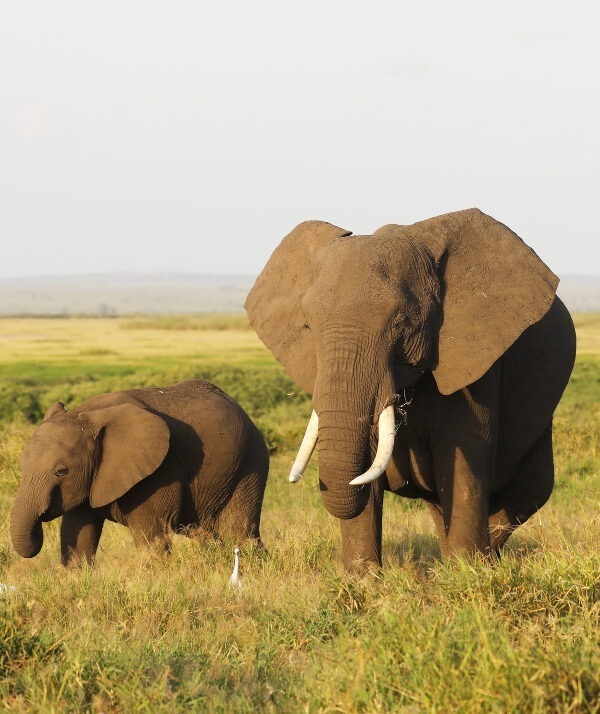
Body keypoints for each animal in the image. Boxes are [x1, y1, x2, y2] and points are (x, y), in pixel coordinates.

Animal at [10, 378, 268, 560]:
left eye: (61, 471)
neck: (85, 416)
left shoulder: (159, 470)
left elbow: (152, 541)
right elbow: (76, 539)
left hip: (251, 463)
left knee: (239, 532)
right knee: (207, 534)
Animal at [245, 207, 576, 572]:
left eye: (402, 324)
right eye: (308, 326)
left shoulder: (479, 361)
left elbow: (463, 463)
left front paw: (466, 574)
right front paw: (362, 580)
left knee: (530, 489)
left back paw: (482, 561)